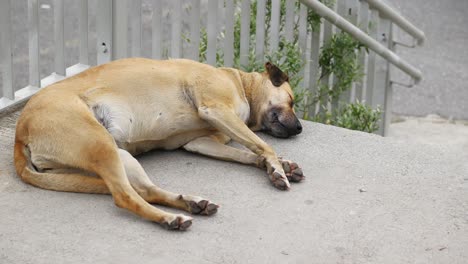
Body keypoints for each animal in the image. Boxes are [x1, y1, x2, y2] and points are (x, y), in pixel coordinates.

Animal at [13, 57, 304, 229]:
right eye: (291, 101)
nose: (300, 128)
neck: (241, 83)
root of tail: (20, 132)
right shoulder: (216, 109)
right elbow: (262, 145)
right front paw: (277, 168)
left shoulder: (201, 142)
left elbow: (248, 152)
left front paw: (279, 166)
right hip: (100, 145)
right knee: (125, 196)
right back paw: (170, 218)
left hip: (119, 155)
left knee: (145, 190)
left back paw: (189, 203)